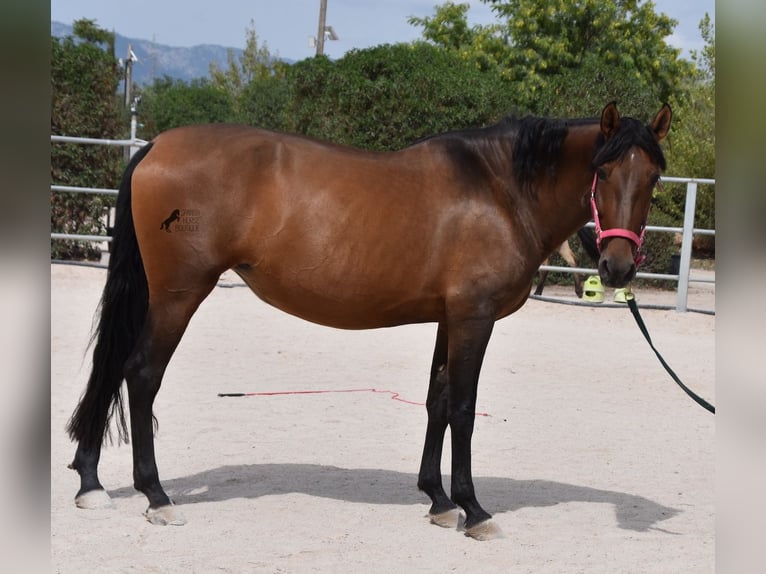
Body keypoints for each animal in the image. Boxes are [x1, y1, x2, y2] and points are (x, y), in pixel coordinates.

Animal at [66, 102, 668, 540]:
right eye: (603, 170)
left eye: (655, 177)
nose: (617, 267)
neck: (499, 189)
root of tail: (157, 144)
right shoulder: (474, 318)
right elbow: (464, 409)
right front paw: (473, 510)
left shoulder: (449, 319)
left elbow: (437, 401)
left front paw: (438, 500)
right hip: (179, 294)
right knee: (142, 374)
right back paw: (157, 497)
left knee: (113, 367)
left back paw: (91, 481)